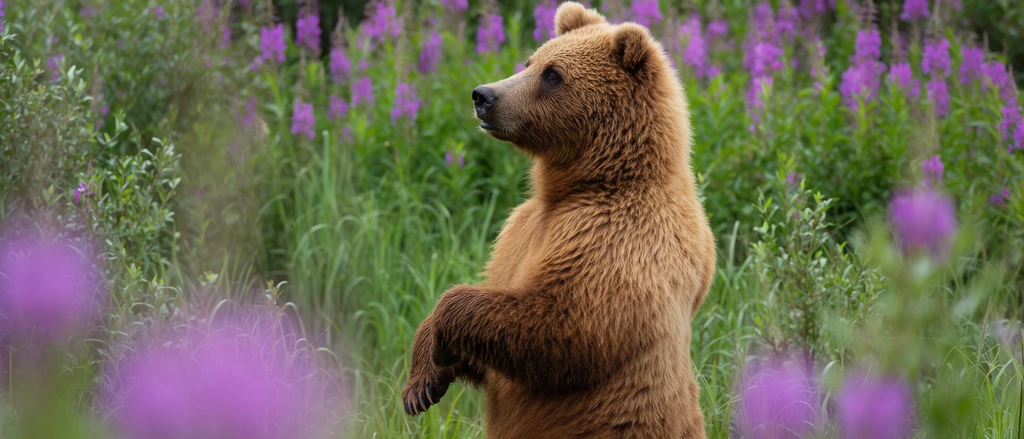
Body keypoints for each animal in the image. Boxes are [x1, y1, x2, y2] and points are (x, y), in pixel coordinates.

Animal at [401, 3, 716, 438]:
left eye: (553, 74)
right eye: (529, 61)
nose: (484, 95)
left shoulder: (615, 235)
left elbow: (566, 325)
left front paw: (443, 332)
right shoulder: (518, 233)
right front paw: (422, 382)